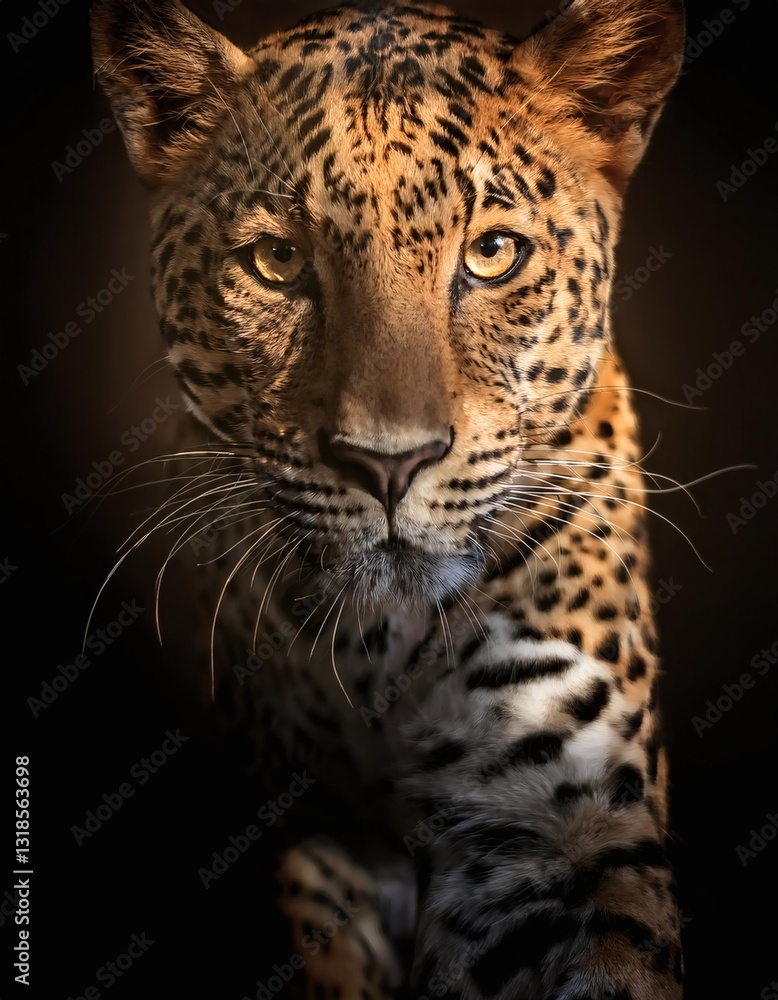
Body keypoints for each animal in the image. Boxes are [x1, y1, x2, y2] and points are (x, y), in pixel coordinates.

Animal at [90, 0, 687, 997]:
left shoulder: (559, 824)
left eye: (493, 253)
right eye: (277, 260)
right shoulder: (301, 835)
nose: (389, 465)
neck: (382, 646)